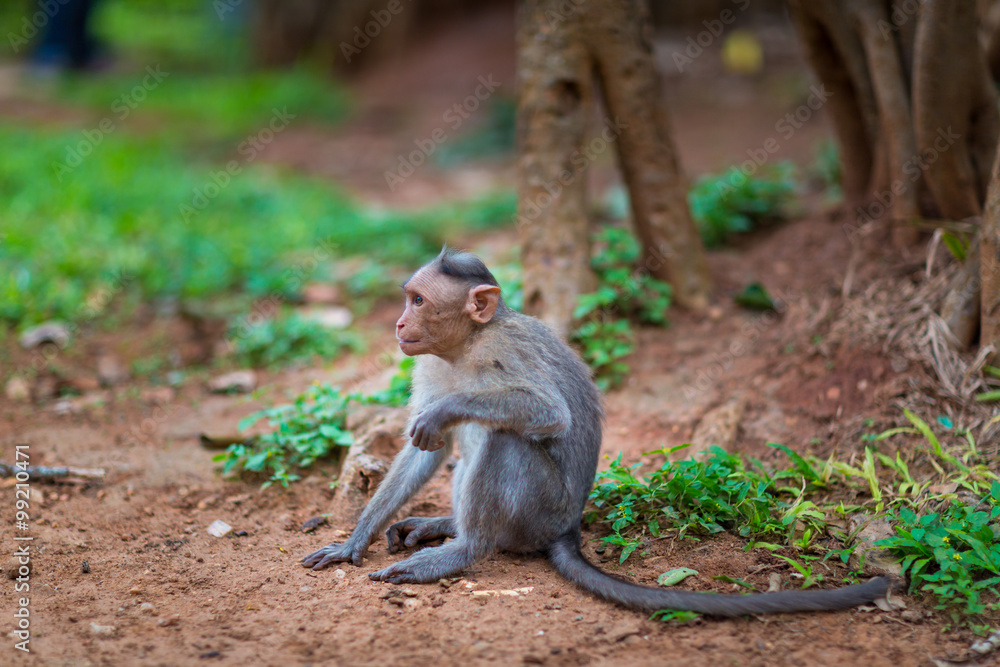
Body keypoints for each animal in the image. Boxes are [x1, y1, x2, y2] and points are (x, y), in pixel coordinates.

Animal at [302, 248, 890, 617]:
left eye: (418, 300)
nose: (400, 325)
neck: (465, 347)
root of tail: (568, 526)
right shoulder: (426, 362)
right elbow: (427, 447)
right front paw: (355, 541)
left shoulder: (504, 351)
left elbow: (545, 413)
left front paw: (448, 410)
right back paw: (445, 525)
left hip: (540, 508)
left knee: (503, 436)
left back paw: (464, 548)